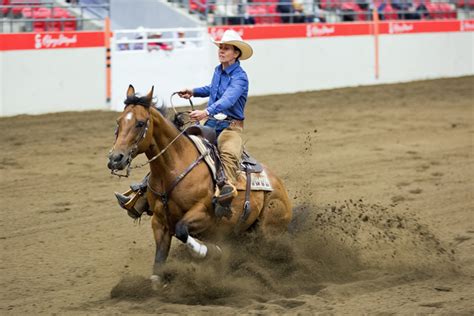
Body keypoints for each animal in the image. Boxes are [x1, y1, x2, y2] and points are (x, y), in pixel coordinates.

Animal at [108, 86, 292, 284]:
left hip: (268, 227)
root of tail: (280, 185)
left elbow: (182, 231)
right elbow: (158, 266)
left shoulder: (203, 214)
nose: (115, 158)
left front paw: (208, 251)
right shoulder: (159, 222)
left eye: (140, 123)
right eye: (119, 121)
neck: (174, 167)